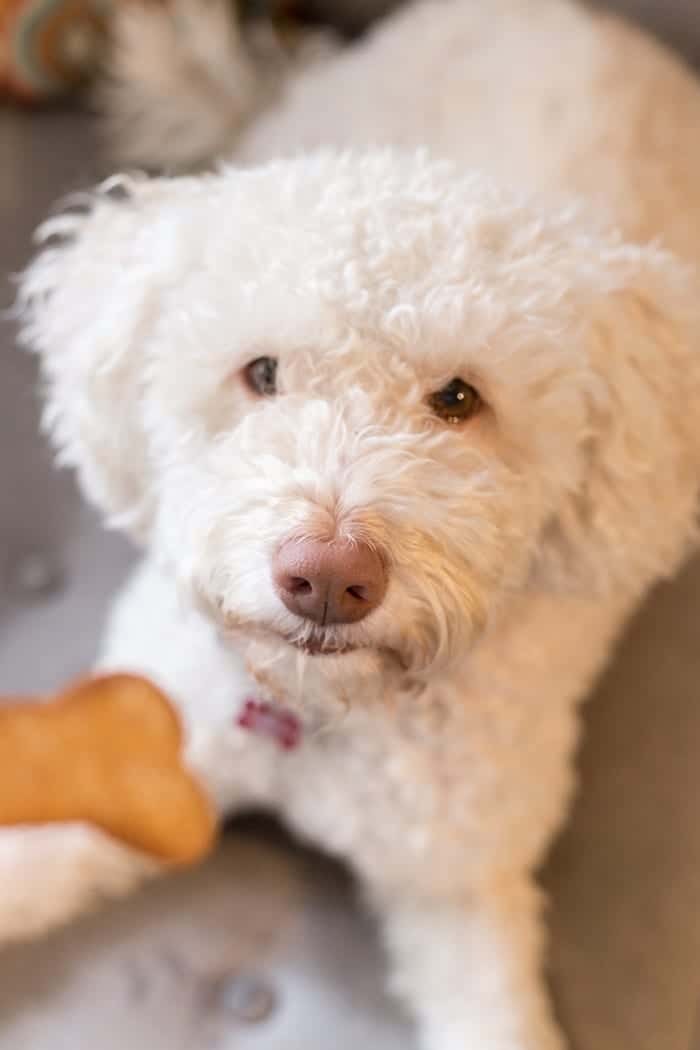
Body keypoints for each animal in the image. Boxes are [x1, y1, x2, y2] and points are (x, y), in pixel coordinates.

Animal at [8, 2, 700, 1050]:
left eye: (458, 399)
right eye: (260, 373)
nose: (327, 577)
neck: (315, 716)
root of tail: (579, 22)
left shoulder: (459, 882)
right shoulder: (135, 754)